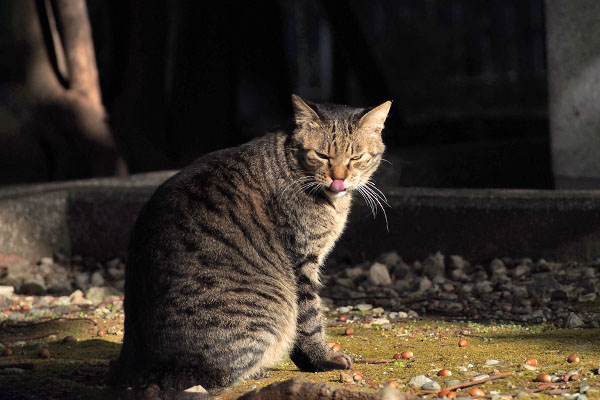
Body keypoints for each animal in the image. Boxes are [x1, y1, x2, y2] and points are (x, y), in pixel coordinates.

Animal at [111, 94, 394, 390]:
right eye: (321, 155)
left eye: (356, 157)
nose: (339, 178)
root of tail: (132, 365)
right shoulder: (302, 262)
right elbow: (310, 320)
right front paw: (322, 360)